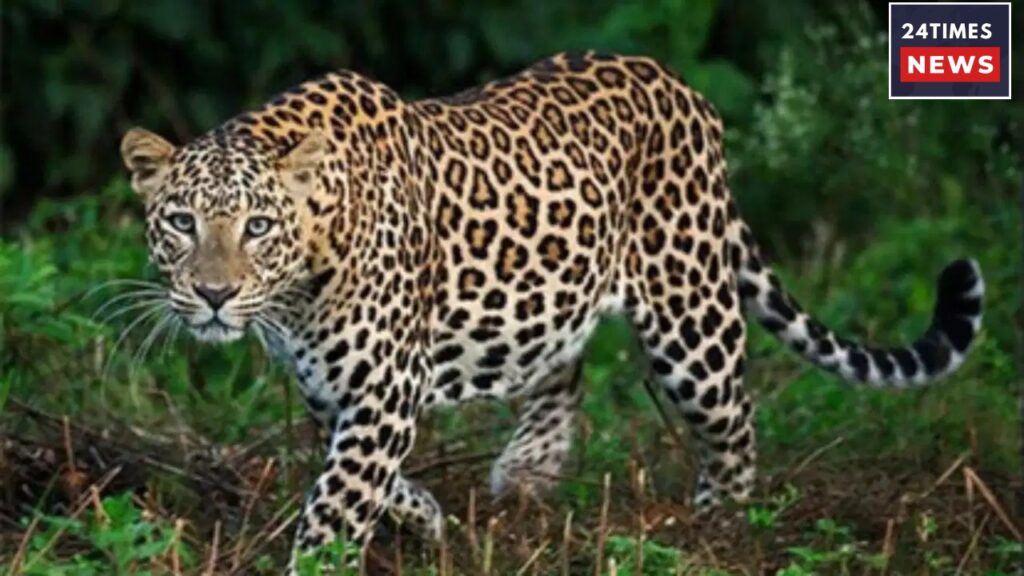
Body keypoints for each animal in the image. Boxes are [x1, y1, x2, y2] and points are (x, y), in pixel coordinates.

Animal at [119, 51, 985, 569]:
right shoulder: (336, 389)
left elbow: (338, 499)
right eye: (181, 222)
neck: (300, 281)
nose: (214, 294)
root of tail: (682, 88)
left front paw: (323, 558)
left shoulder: (382, 388)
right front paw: (426, 518)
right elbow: (363, 477)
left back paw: (720, 527)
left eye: (258, 226)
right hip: (547, 295)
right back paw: (529, 470)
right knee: (563, 367)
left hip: (690, 316)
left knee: (736, 418)